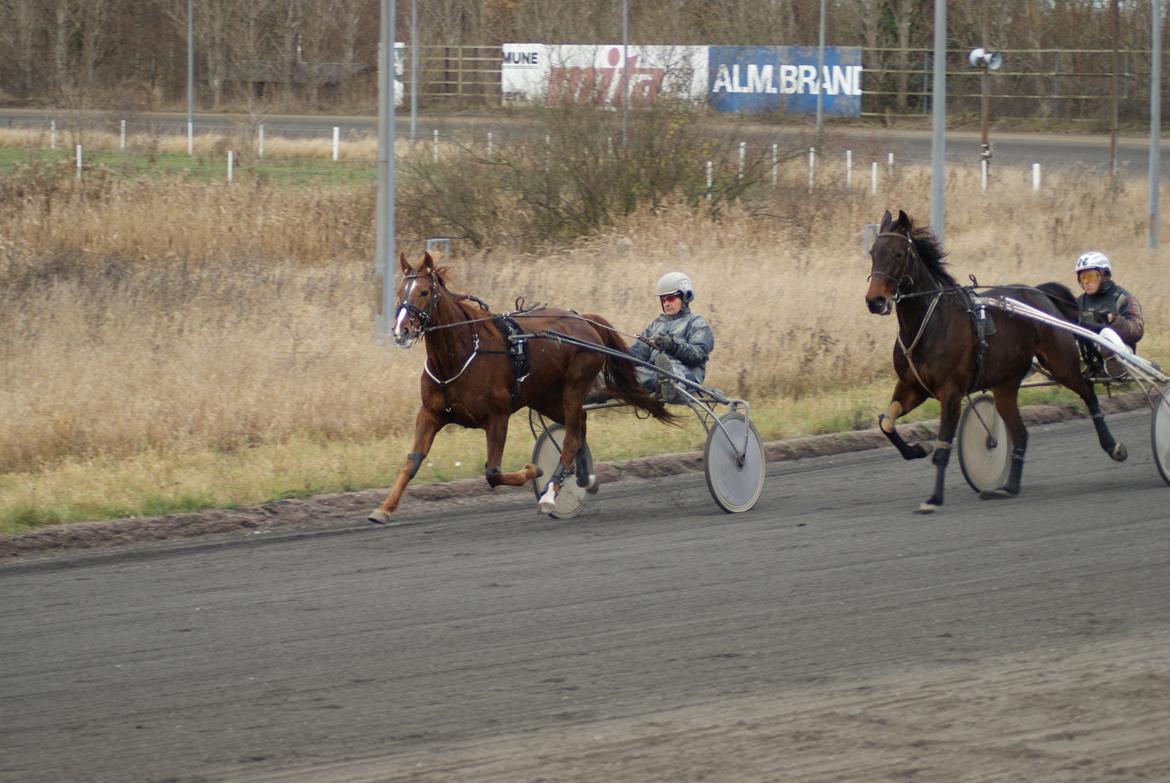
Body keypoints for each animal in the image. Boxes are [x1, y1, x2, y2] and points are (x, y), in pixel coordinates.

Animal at [369, 251, 673, 524]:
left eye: (423, 292)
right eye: (400, 290)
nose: (400, 330)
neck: (459, 357)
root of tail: (584, 320)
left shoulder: (498, 415)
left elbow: (493, 472)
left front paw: (534, 470)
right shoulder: (430, 413)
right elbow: (412, 461)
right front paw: (383, 509)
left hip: (574, 387)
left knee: (572, 436)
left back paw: (550, 493)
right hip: (545, 397)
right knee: (579, 427)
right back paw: (583, 478)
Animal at [870, 209, 1123, 512]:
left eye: (898, 254)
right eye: (873, 252)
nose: (874, 301)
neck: (929, 324)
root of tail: (1038, 293)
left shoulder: (950, 392)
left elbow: (943, 445)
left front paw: (934, 498)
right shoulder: (912, 387)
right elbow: (886, 422)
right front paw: (917, 449)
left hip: (1062, 364)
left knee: (1088, 391)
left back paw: (1113, 446)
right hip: (1006, 384)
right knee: (1021, 433)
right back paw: (1009, 487)